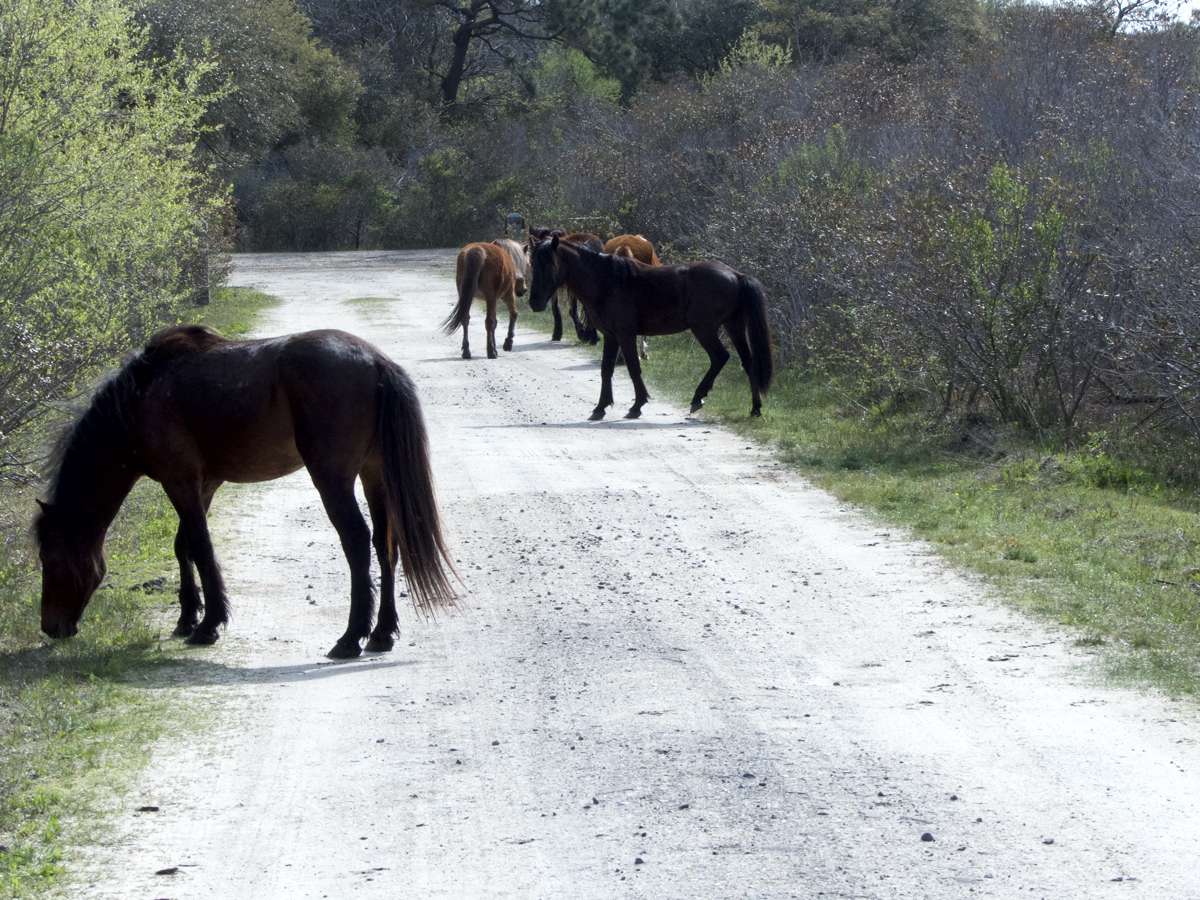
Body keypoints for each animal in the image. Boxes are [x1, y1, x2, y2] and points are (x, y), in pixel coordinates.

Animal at [35, 325, 458, 660]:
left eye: (50, 560)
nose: (50, 627)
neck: (141, 395)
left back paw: (350, 638)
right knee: (386, 546)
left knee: (356, 541)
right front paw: (187, 618)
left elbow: (201, 547)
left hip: (333, 479)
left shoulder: (179, 481)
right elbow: (184, 546)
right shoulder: (204, 483)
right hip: (375, 475)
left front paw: (208, 624)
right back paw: (381, 633)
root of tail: (376, 362)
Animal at [529, 236, 774, 420]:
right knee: (748, 362)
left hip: (704, 329)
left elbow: (633, 368)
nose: (534, 302)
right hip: (734, 327)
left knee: (720, 357)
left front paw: (637, 405)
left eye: (548, 264)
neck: (608, 281)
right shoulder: (611, 336)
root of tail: (736, 275)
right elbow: (606, 369)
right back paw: (755, 407)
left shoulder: (625, 335)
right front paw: (600, 408)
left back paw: (698, 397)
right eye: (532, 263)